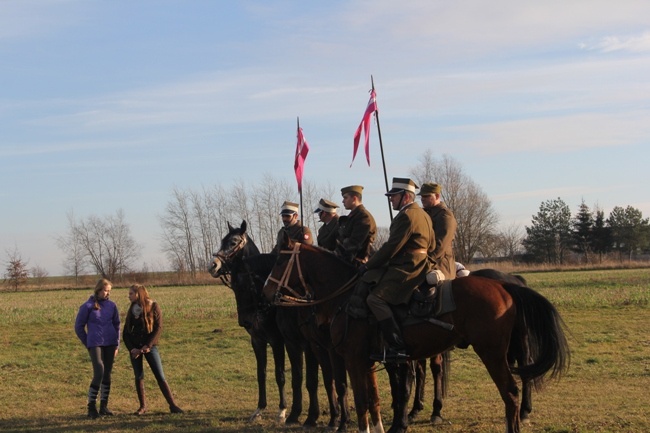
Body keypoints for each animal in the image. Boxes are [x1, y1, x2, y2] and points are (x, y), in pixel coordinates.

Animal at [210, 221, 346, 426]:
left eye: (233, 242)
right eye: (222, 241)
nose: (213, 265)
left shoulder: (281, 341)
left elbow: (284, 375)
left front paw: (283, 411)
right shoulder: (258, 341)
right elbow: (262, 374)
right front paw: (260, 409)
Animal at [262, 240, 568, 432]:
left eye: (279, 261)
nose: (266, 292)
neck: (344, 297)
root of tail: (506, 285)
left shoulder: (353, 360)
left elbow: (361, 400)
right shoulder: (367, 361)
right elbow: (373, 400)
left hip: (493, 353)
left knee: (511, 392)